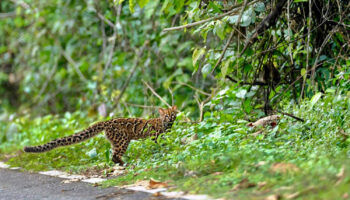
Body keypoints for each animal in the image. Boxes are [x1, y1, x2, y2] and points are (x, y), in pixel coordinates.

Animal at [23, 106, 178, 166]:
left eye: (172, 114)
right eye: (166, 115)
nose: (170, 118)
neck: (166, 125)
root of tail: (106, 121)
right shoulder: (155, 136)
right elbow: (158, 144)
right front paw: (161, 151)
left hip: (116, 141)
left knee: (113, 154)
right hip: (123, 140)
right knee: (115, 155)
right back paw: (124, 163)